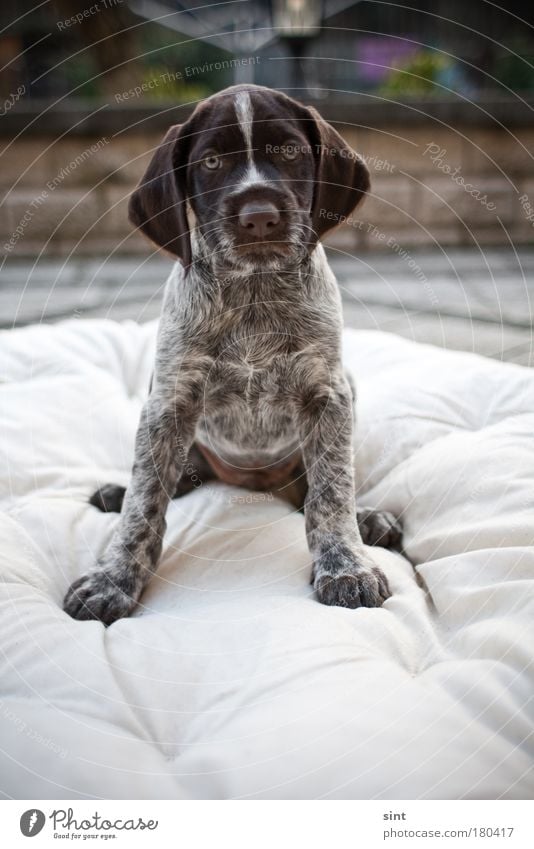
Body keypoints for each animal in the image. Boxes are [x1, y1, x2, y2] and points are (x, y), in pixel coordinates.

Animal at [63, 84, 402, 624]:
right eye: (212, 162)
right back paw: (121, 489)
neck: (254, 293)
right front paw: (113, 579)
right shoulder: (169, 401)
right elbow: (144, 501)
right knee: (173, 473)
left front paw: (346, 566)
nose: (259, 217)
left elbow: (332, 490)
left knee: (317, 486)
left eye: (290, 152)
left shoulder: (328, 395)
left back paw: (368, 516)